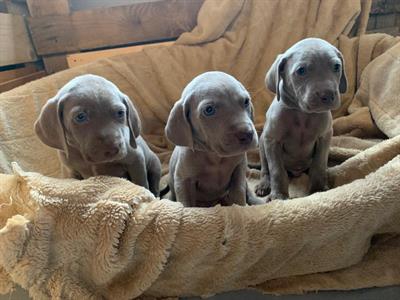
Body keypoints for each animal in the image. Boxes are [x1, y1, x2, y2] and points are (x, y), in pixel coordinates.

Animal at [34, 74, 162, 197]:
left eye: (120, 113)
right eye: (80, 116)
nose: (112, 149)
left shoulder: (136, 159)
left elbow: (142, 184)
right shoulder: (71, 172)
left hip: (155, 165)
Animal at [165, 71, 262, 206]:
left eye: (246, 101)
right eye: (209, 110)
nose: (247, 134)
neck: (215, 157)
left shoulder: (239, 169)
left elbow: (239, 192)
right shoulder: (183, 180)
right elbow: (186, 204)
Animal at [256, 38, 346, 202]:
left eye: (337, 67)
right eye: (301, 71)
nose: (327, 95)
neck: (303, 113)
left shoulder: (324, 137)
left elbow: (319, 165)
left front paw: (318, 189)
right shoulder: (272, 141)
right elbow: (277, 170)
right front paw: (279, 196)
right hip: (262, 144)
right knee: (265, 169)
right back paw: (264, 185)